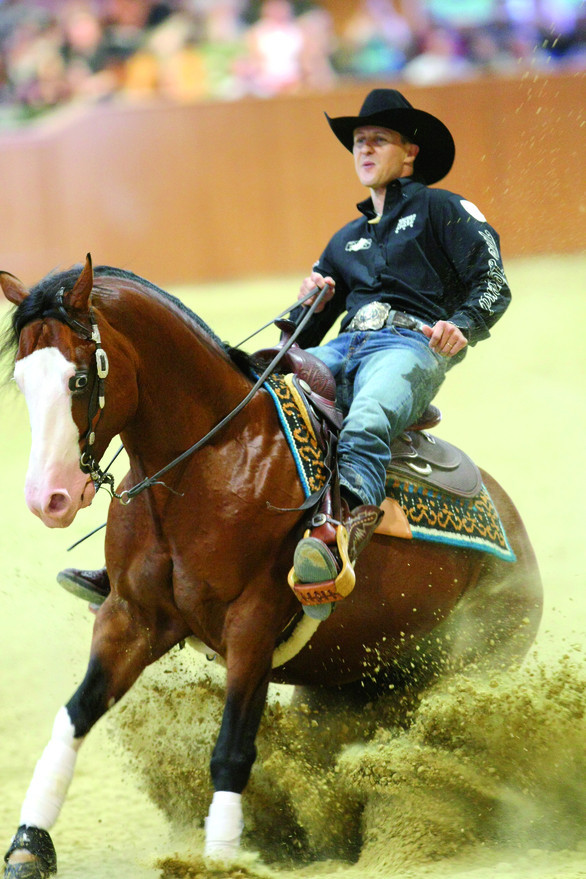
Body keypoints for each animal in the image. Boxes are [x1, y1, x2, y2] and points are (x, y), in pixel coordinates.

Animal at [0, 258, 540, 876]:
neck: (209, 462)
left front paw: (217, 860)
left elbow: (232, 751)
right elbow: (74, 717)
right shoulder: (130, 616)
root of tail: (517, 534)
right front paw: (29, 846)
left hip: (474, 665)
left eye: (80, 380)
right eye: (22, 381)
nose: (48, 499)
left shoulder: (253, 626)